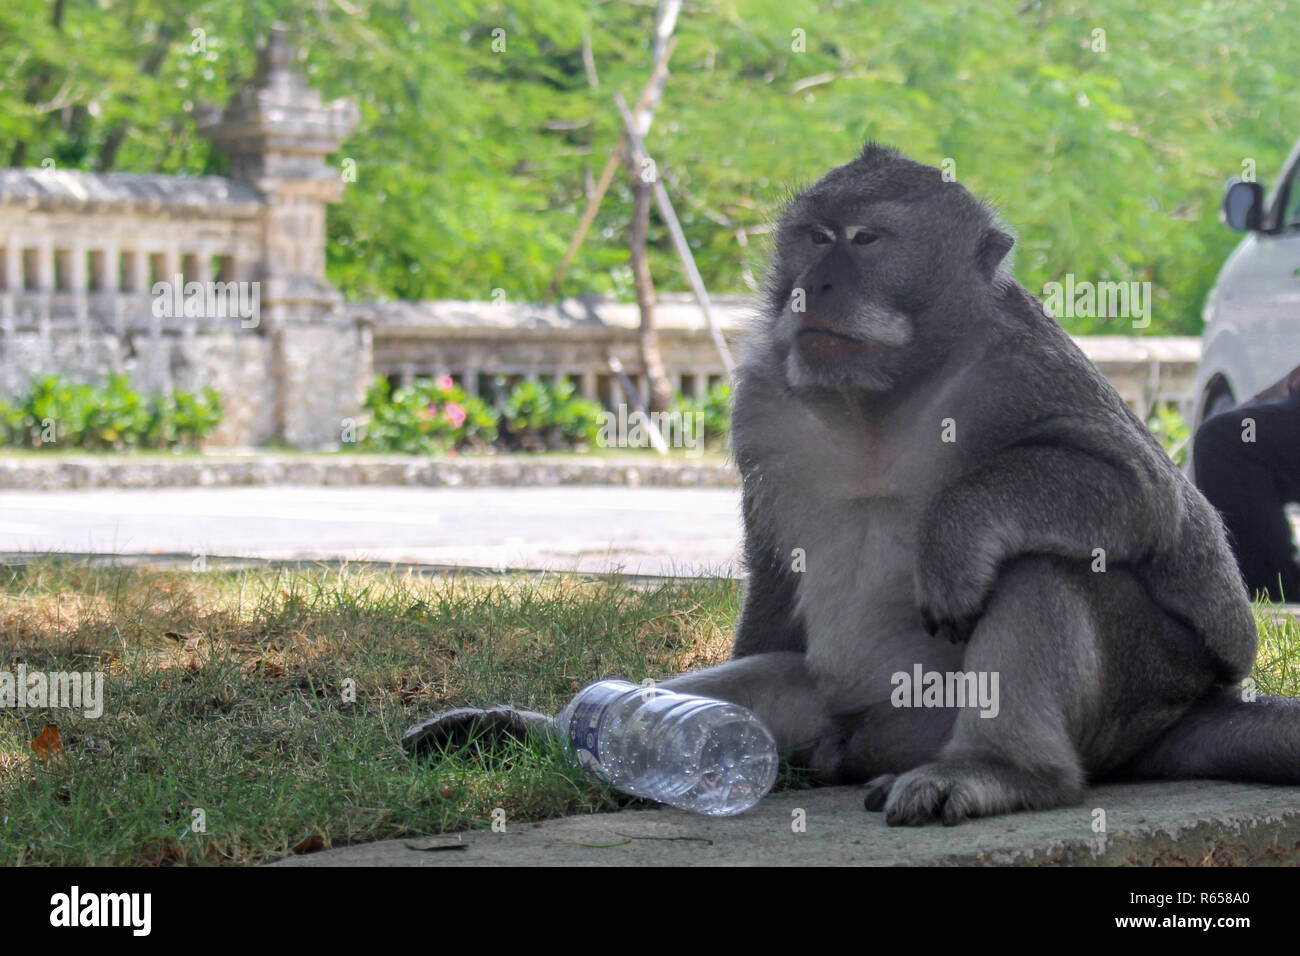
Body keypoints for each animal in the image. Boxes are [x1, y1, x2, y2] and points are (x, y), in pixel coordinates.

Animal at [405, 145, 1300, 827]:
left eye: (867, 240)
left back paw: (999, 770)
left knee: (1047, 564)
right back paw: (542, 731)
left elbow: (1144, 494)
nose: (818, 284)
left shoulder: (1021, 366)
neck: (880, 395)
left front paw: (955, 532)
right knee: (773, 685)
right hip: (835, 707)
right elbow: (774, 569)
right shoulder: (764, 396)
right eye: (812, 238)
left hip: (1137, 694)